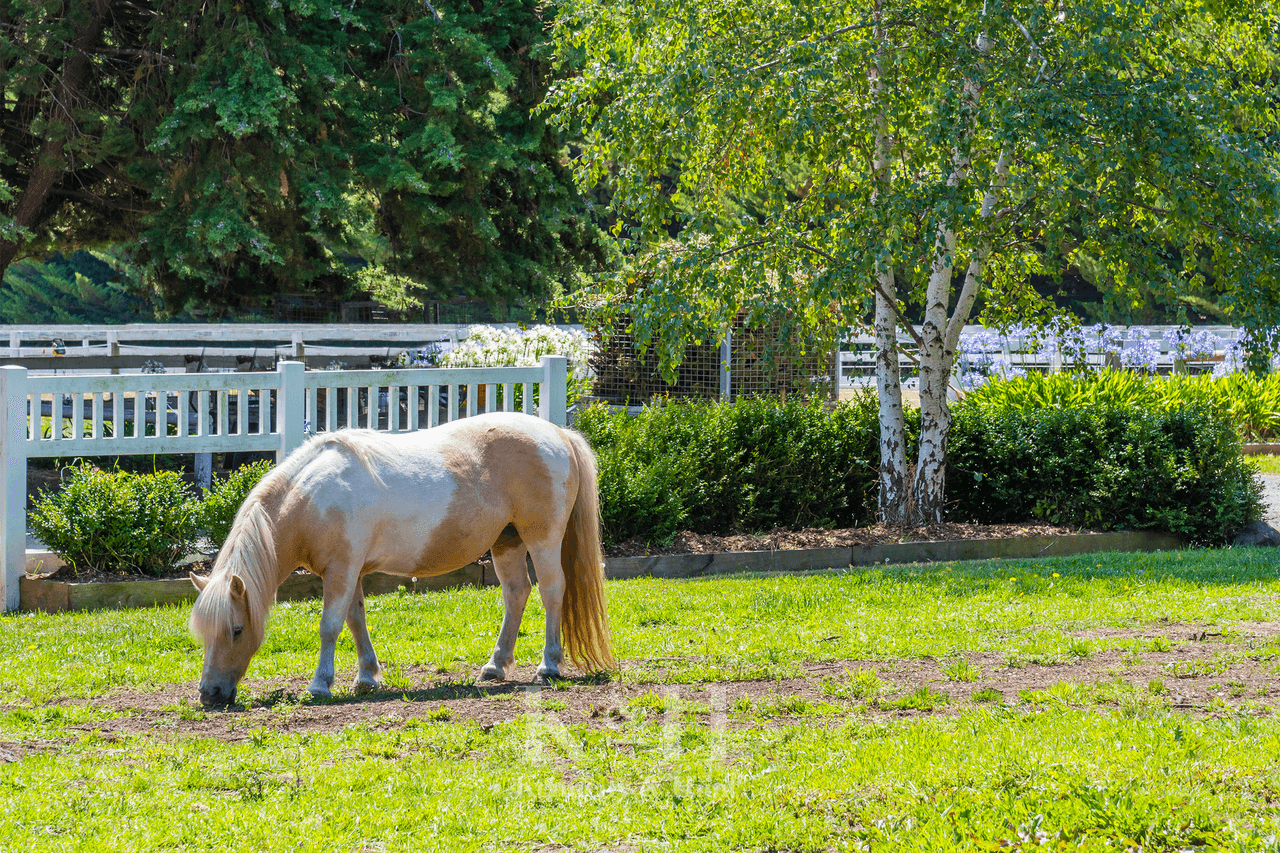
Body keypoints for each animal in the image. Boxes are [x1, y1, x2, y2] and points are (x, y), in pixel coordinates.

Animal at [185, 409, 614, 701]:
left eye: (236, 630)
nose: (209, 694)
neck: (311, 498)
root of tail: (558, 433)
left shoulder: (340, 571)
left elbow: (330, 625)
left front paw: (321, 684)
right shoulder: (350, 573)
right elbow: (356, 620)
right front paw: (366, 677)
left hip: (542, 541)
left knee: (552, 591)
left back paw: (550, 665)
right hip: (506, 542)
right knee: (517, 593)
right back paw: (495, 666)